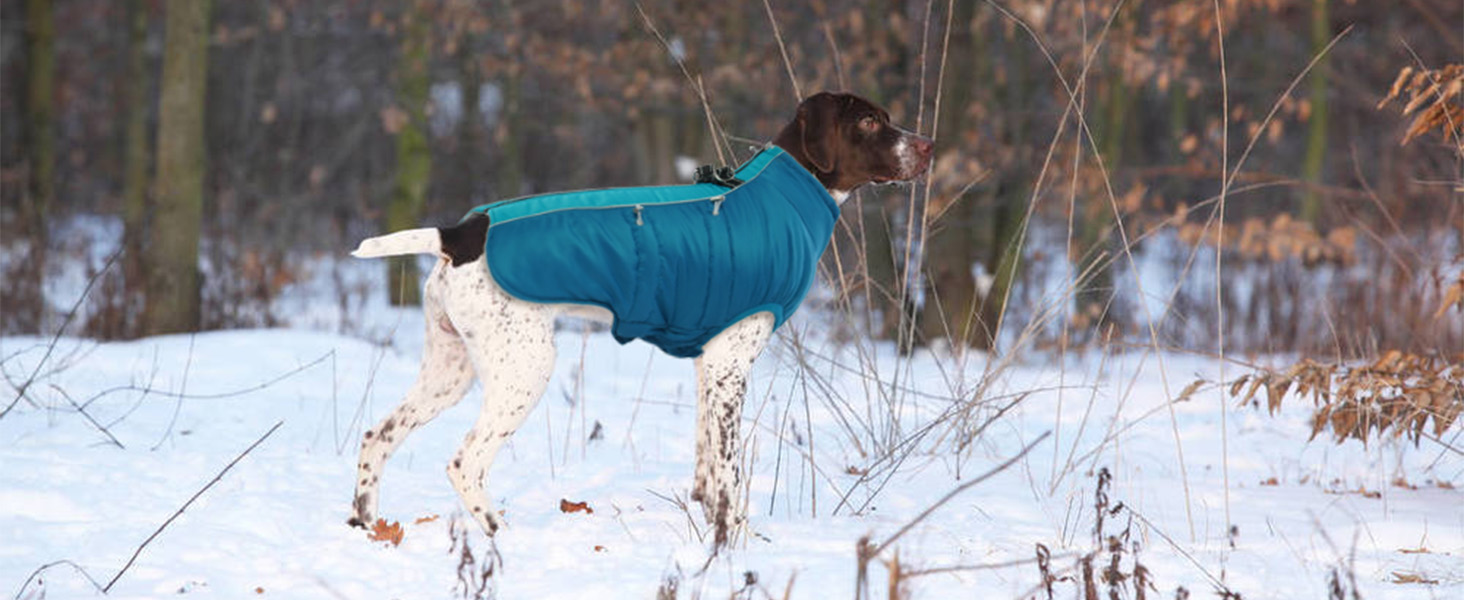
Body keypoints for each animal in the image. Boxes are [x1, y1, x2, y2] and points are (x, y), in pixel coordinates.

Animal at [348, 91, 931, 547]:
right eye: (869, 122)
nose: (927, 146)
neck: (782, 196)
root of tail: (462, 233)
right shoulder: (730, 366)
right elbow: (730, 474)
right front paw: (737, 544)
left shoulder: (709, 367)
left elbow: (707, 472)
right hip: (524, 370)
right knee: (464, 462)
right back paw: (497, 536)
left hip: (451, 370)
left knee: (377, 435)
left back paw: (367, 525)